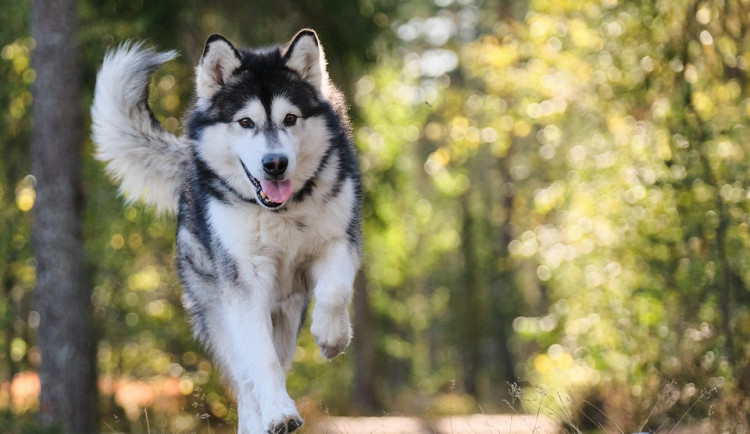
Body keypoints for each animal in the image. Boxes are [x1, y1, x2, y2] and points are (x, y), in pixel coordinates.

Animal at [92, 28, 362, 432]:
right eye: (246, 122)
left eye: (291, 118)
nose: (275, 164)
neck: (281, 212)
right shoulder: (245, 284)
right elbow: (262, 361)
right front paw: (280, 412)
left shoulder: (339, 240)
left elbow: (334, 291)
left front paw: (331, 337)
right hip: (221, 312)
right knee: (248, 384)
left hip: (285, 314)